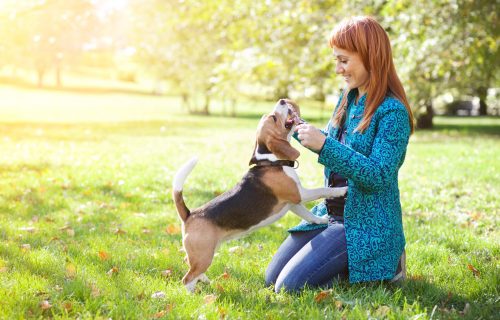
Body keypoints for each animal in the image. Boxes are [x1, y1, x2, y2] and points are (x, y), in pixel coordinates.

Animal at [172, 99, 348, 292]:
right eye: (273, 118)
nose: (282, 100)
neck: (272, 161)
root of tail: (189, 214)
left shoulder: (293, 203)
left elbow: (308, 215)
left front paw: (321, 220)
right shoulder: (299, 194)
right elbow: (322, 190)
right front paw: (341, 190)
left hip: (206, 251)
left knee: (188, 263)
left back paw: (205, 280)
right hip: (204, 254)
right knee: (187, 278)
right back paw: (193, 293)